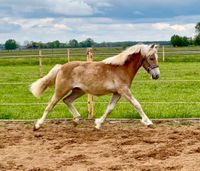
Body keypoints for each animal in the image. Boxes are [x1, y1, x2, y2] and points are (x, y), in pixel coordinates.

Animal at [30, 43, 160, 130]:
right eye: (151, 58)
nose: (156, 75)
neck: (121, 68)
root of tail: (61, 67)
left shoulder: (117, 93)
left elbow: (110, 108)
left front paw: (98, 124)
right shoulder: (124, 90)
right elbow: (137, 105)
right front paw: (148, 122)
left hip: (78, 91)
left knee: (67, 100)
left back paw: (76, 120)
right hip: (61, 90)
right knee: (50, 105)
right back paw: (37, 125)